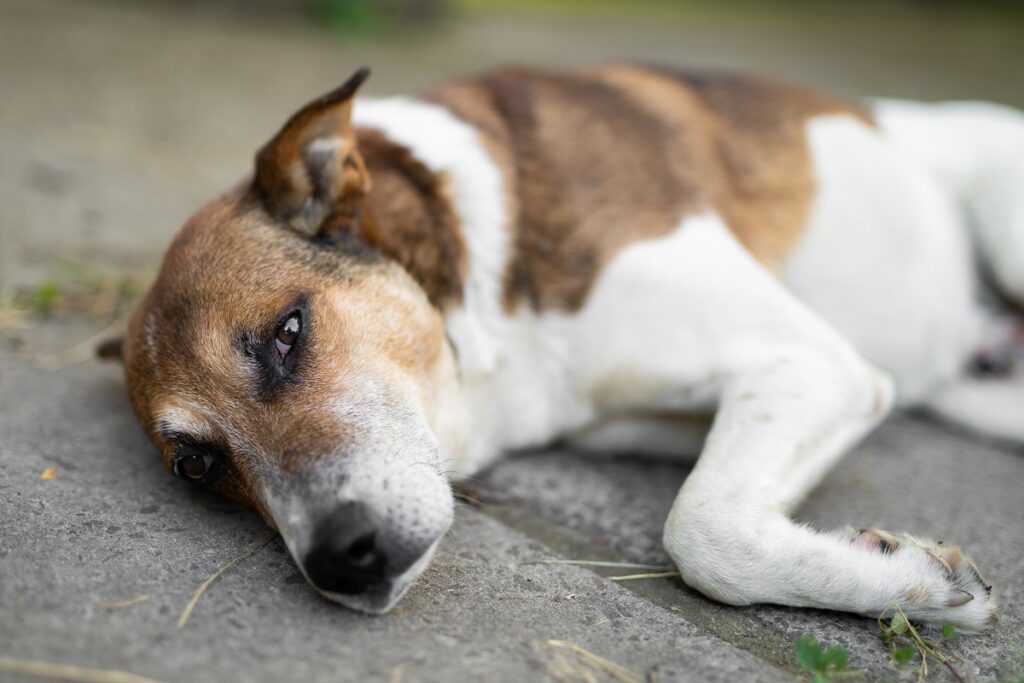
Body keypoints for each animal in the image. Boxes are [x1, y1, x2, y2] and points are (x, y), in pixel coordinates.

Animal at [97, 65, 1024, 630]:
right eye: (198, 466)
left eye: (288, 332)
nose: (340, 561)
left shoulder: (812, 359)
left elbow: (703, 530)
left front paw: (919, 585)